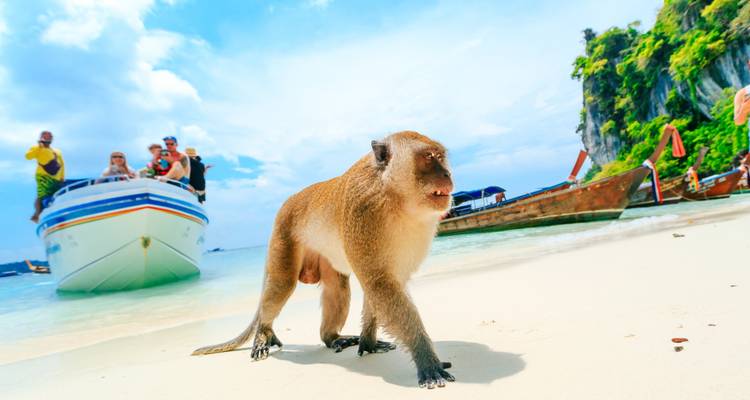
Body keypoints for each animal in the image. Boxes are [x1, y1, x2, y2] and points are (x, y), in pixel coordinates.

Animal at [192, 131, 455, 389]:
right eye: (429, 157)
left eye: (441, 157)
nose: (447, 174)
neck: (395, 195)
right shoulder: (364, 211)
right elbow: (379, 284)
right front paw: (427, 360)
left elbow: (381, 286)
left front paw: (369, 343)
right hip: (283, 236)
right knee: (282, 284)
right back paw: (263, 333)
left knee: (337, 287)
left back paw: (332, 338)